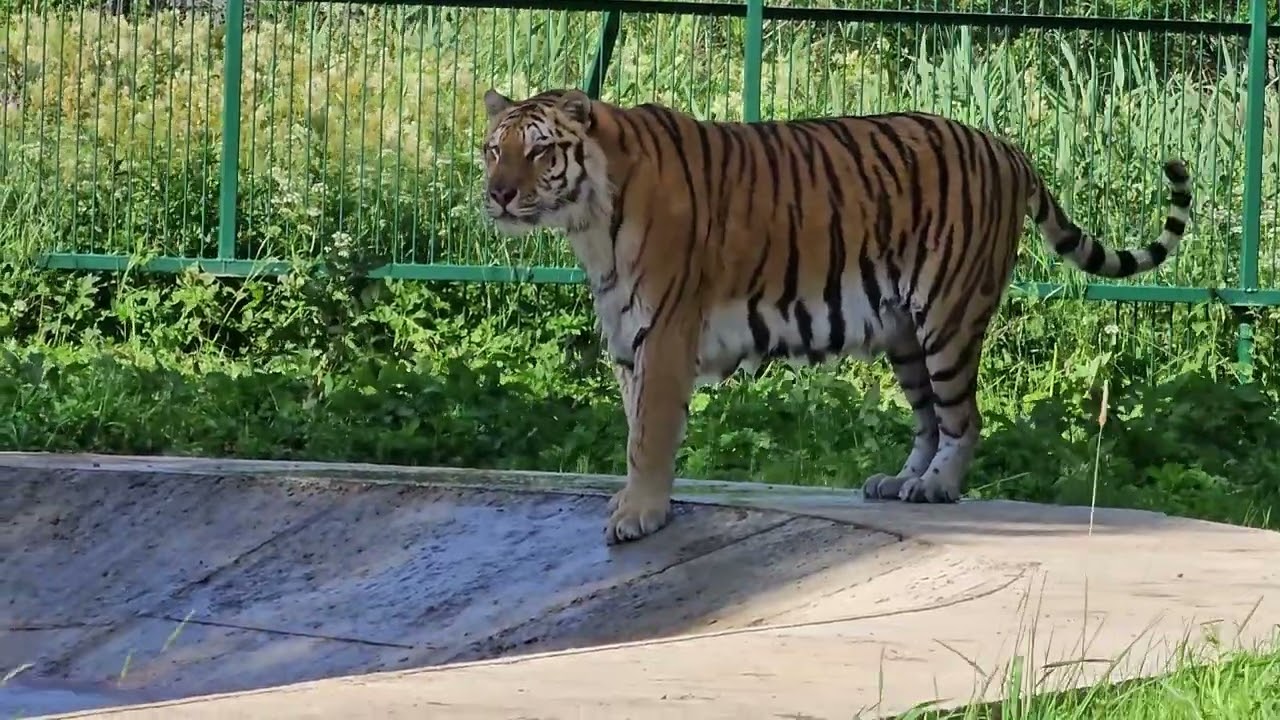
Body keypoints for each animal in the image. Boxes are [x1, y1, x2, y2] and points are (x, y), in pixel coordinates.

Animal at [478, 87, 1191, 546]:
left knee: (964, 418)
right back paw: (901, 481)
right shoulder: (631, 340)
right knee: (929, 417)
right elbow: (633, 433)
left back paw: (937, 487)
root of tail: (1005, 147)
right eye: (493, 150)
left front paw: (639, 516)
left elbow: (648, 437)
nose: (498, 195)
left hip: (948, 315)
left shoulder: (664, 335)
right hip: (903, 330)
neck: (587, 220)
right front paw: (633, 502)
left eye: (540, 152)